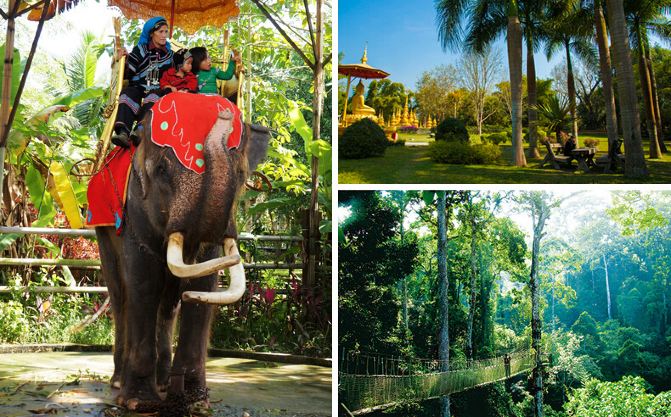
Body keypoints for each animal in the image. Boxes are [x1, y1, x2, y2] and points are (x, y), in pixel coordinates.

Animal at [97, 101, 270, 412]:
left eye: (240, 176)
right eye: (162, 170)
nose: (225, 114)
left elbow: (203, 285)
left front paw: (195, 403)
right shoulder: (134, 211)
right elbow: (144, 282)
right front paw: (139, 403)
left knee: (167, 306)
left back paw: (164, 383)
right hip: (101, 229)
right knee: (120, 294)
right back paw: (118, 382)